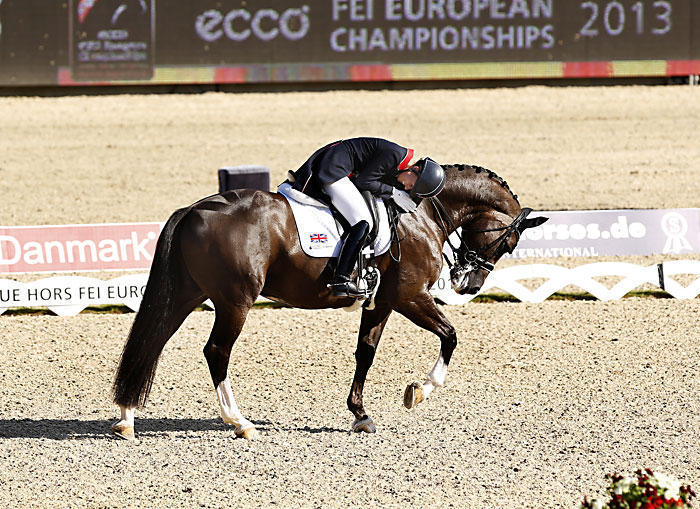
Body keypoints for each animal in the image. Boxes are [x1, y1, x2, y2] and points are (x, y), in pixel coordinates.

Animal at [110, 165, 548, 438]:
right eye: (508, 243)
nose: (468, 285)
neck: (422, 212)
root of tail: (192, 210)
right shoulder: (409, 296)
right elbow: (450, 336)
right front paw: (419, 390)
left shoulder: (380, 303)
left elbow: (365, 353)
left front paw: (360, 415)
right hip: (235, 301)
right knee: (216, 351)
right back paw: (240, 422)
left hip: (188, 294)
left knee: (152, 340)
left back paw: (127, 419)